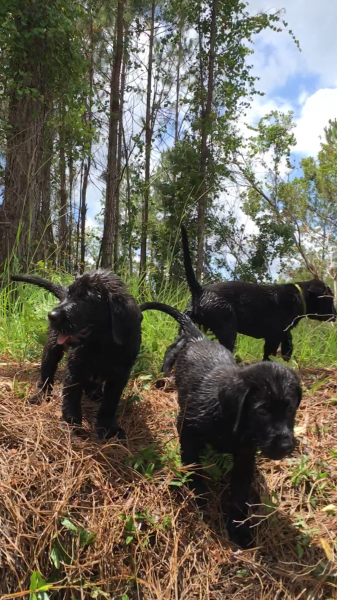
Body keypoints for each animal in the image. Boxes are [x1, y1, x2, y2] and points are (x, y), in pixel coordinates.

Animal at [12, 270, 142, 436]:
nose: (51, 315)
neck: (102, 344)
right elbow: (72, 396)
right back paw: (40, 396)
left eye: (85, 299)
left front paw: (107, 428)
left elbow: (110, 403)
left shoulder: (120, 374)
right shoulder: (75, 367)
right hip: (52, 347)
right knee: (46, 373)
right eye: (70, 294)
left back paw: (94, 394)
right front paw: (71, 423)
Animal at [140, 300, 302, 548]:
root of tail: (199, 338)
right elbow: (193, 465)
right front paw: (198, 494)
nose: (286, 446)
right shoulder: (188, 429)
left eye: (291, 409)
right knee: (172, 349)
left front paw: (238, 529)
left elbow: (239, 495)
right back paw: (163, 374)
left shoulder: (245, 456)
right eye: (262, 411)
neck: (231, 422)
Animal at [162, 225, 334, 366]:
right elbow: (269, 353)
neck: (299, 296)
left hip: (188, 325)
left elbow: (287, 344)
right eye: (330, 299)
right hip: (227, 328)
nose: (336, 314)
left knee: (173, 348)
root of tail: (200, 291)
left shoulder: (284, 331)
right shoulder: (274, 334)